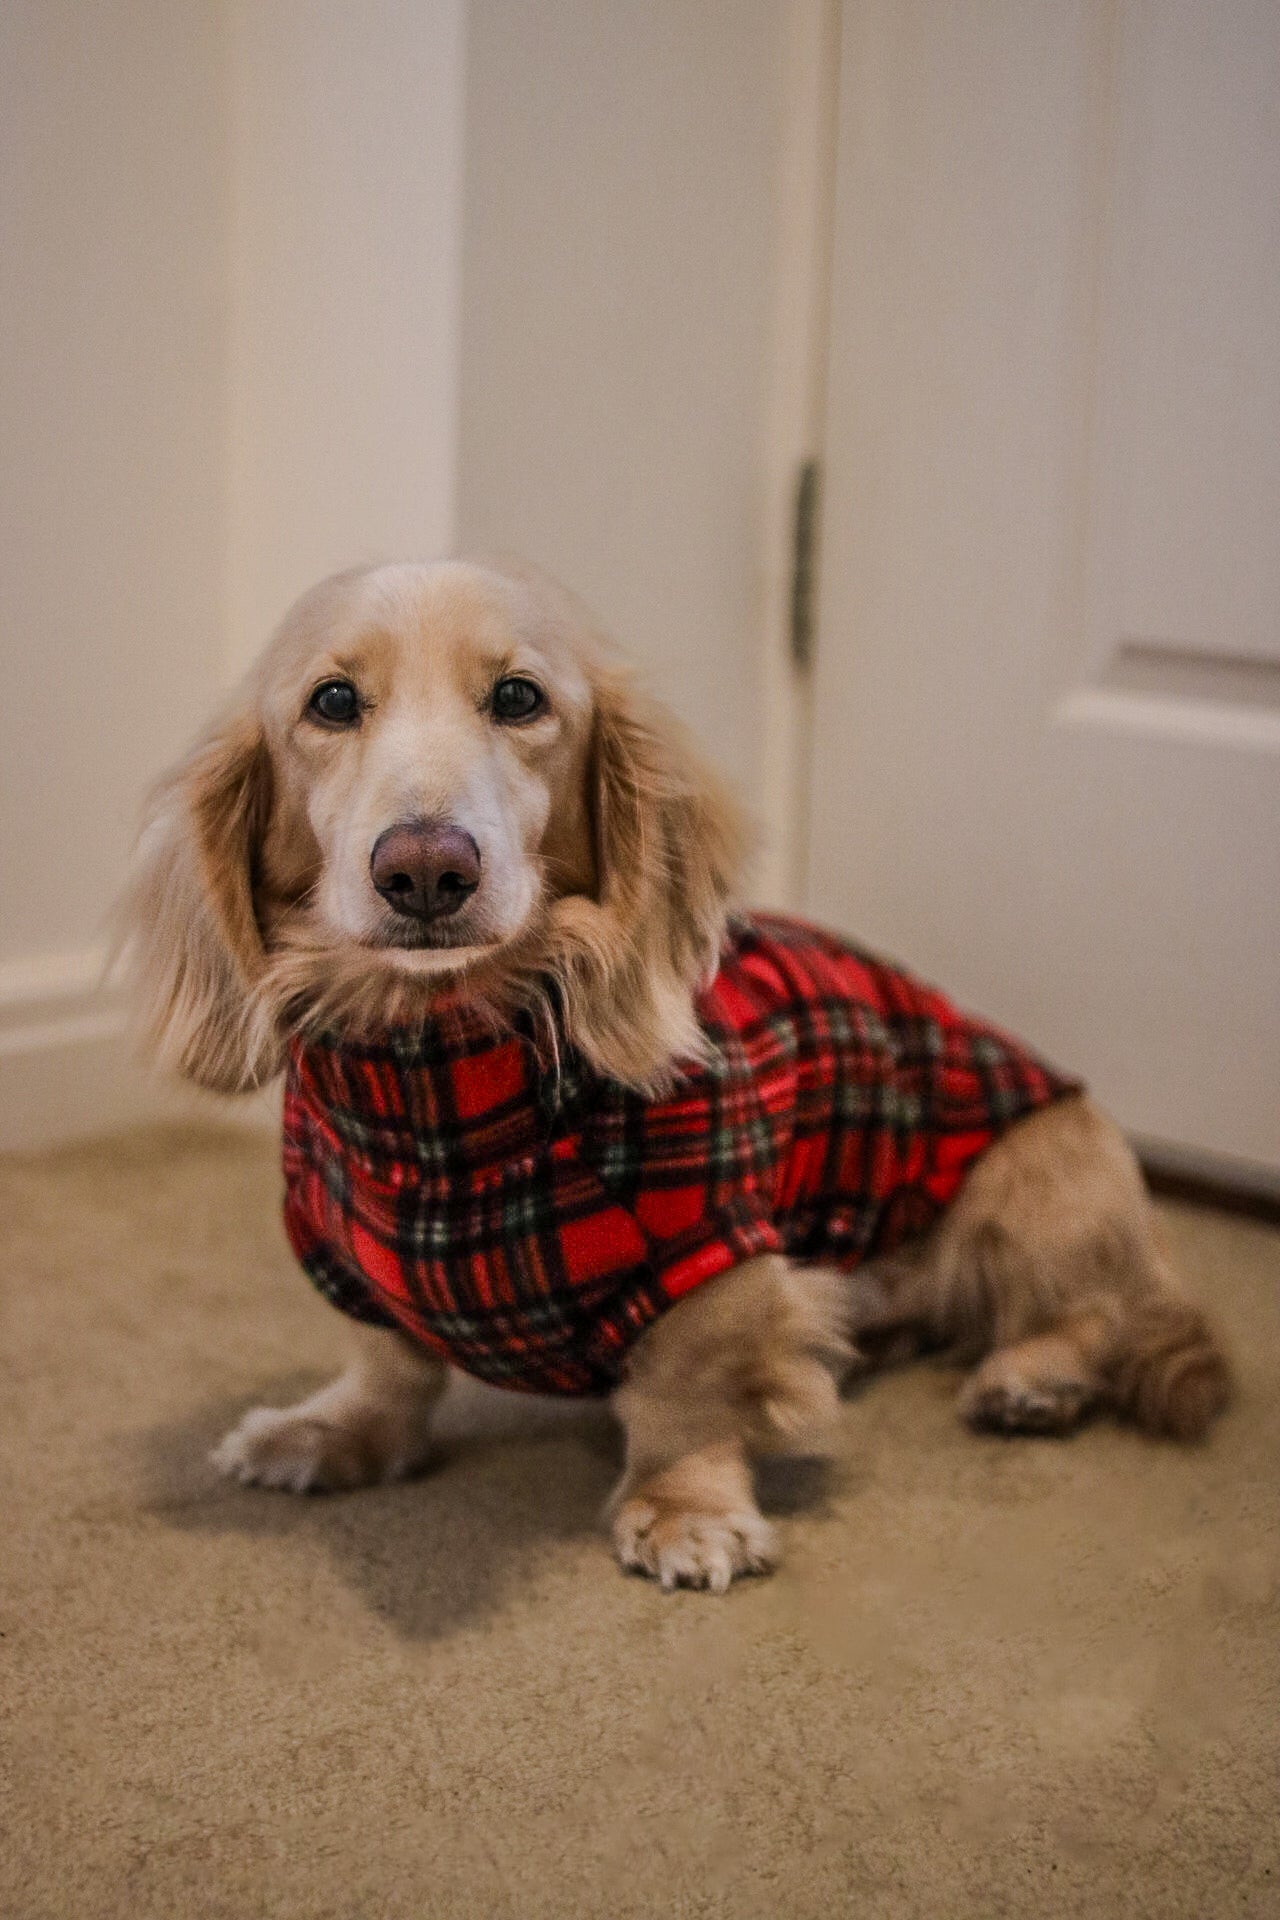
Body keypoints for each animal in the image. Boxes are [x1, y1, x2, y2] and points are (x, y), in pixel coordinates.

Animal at [119, 556, 1228, 1589]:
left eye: (518, 697)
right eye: (333, 701)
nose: (427, 870)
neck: (442, 1098)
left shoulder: (710, 1254)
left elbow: (680, 1393)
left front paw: (685, 1511)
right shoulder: (350, 1262)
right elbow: (389, 1364)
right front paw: (333, 1431)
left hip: (1036, 1189)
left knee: (1092, 1313)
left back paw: (1030, 1377)